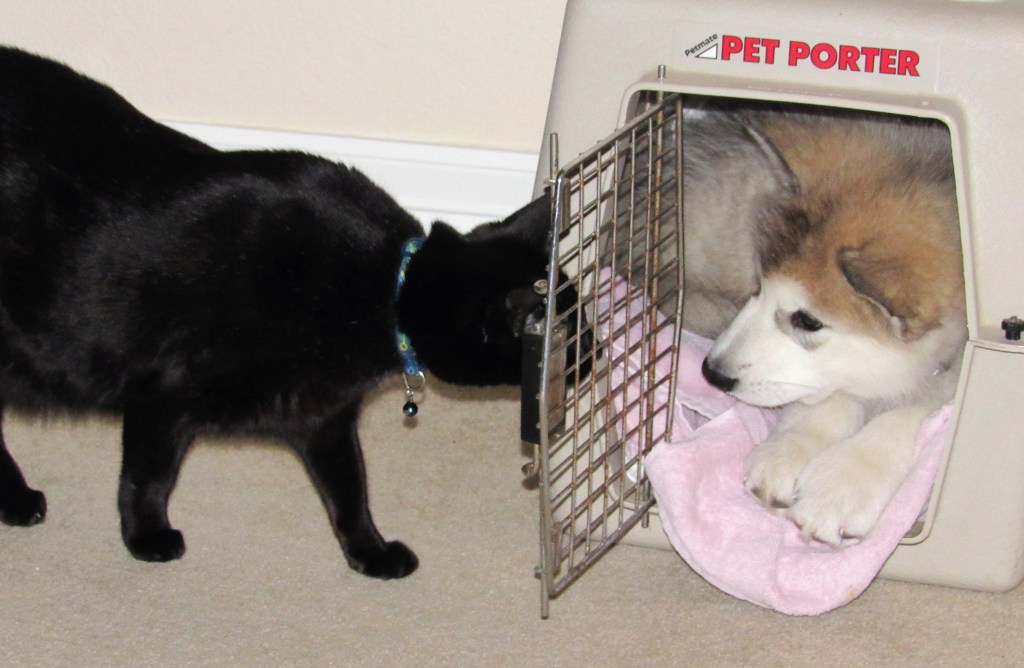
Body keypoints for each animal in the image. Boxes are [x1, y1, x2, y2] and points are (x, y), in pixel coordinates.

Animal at [0, 46, 557, 579]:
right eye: (565, 334)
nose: (581, 358)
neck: (384, 288)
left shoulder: (323, 416)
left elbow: (351, 492)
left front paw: (371, 554)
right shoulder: (160, 398)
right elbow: (148, 478)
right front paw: (147, 538)